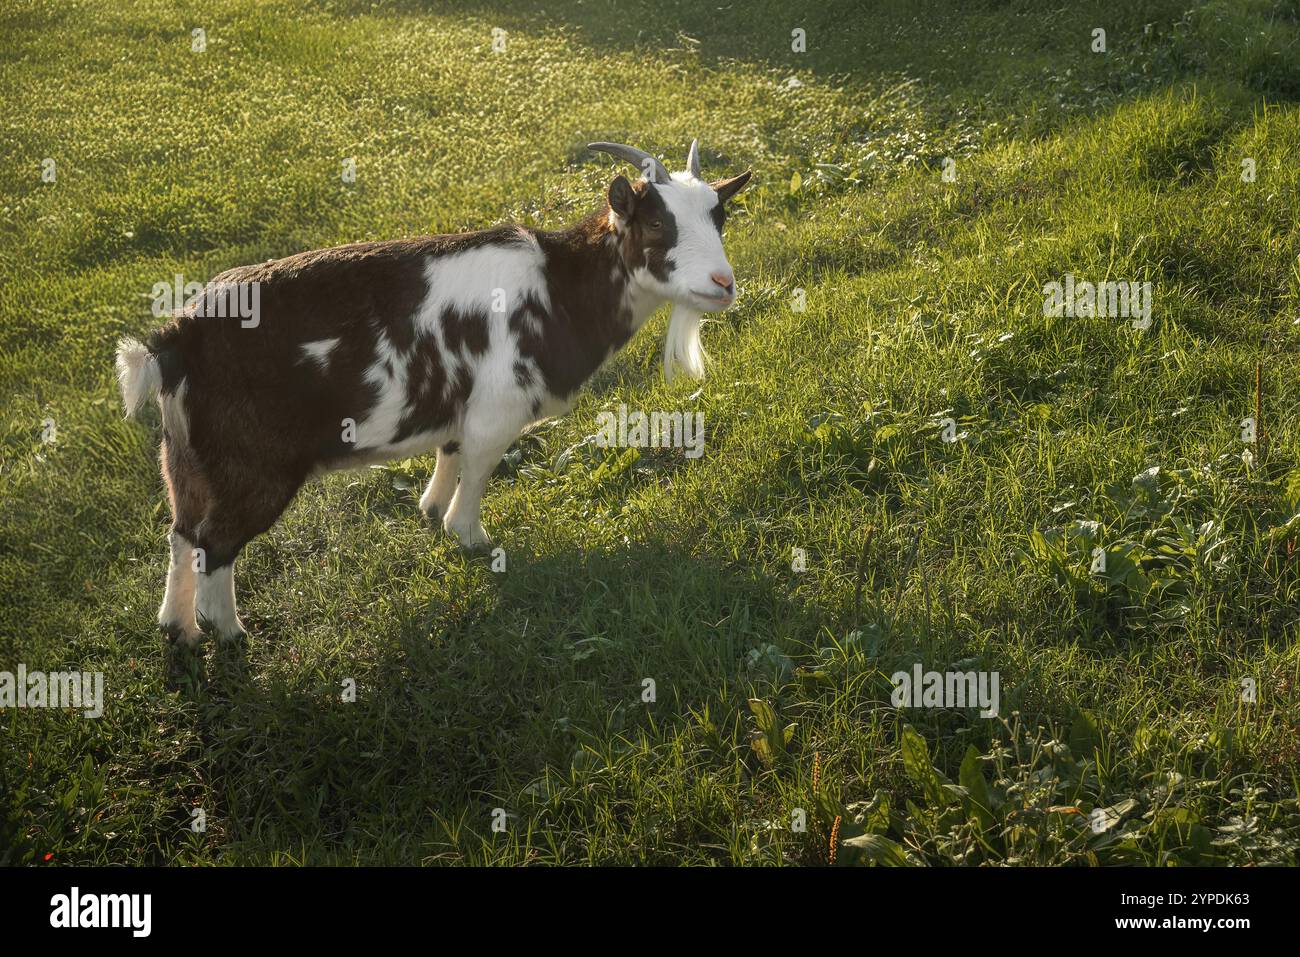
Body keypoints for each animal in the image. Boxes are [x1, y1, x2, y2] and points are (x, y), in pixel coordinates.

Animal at [115, 140, 752, 646]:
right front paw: (469, 537)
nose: (723, 284)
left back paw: (179, 630)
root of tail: (175, 340)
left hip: (186, 459)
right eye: (656, 225)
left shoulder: (461, 406)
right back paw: (228, 633)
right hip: (251, 468)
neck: (560, 284)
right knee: (214, 544)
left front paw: (428, 510)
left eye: (719, 217)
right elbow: (478, 469)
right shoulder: (497, 410)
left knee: (182, 534)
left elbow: (450, 452)